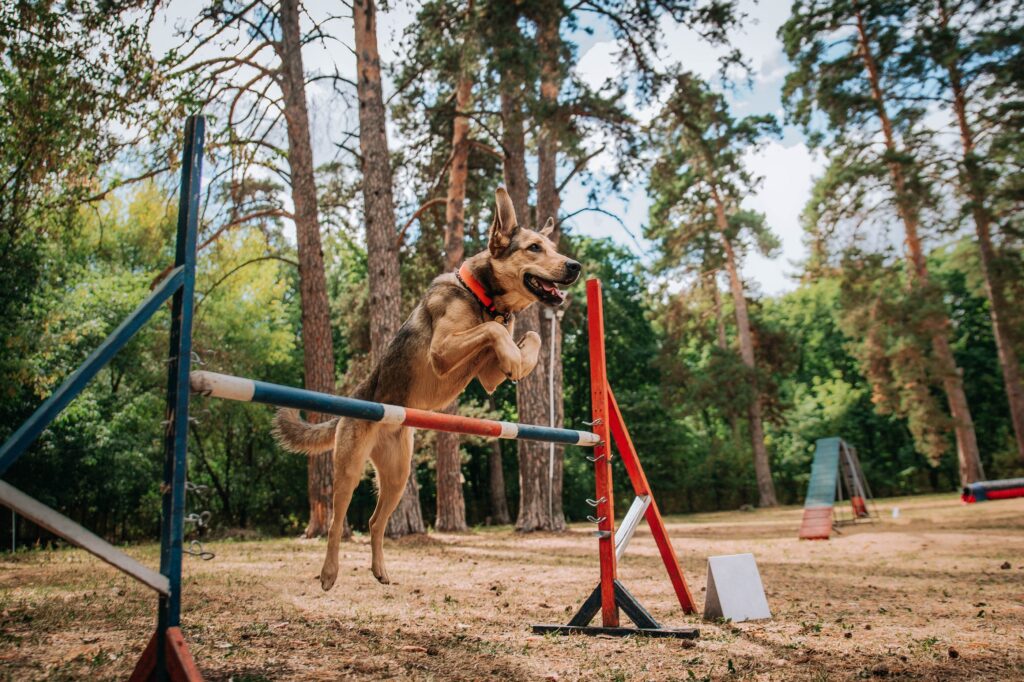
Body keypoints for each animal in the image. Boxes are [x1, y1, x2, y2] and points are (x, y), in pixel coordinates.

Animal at [272, 187, 581, 589]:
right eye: (534, 248)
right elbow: (496, 331)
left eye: (553, 247)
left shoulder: (488, 374)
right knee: (337, 524)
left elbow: (529, 338)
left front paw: (519, 360)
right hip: (349, 472)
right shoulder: (442, 351)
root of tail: (353, 402)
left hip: (397, 477)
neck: (482, 297)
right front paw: (515, 357)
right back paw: (329, 573)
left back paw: (381, 571)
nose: (575, 266)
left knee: (374, 522)